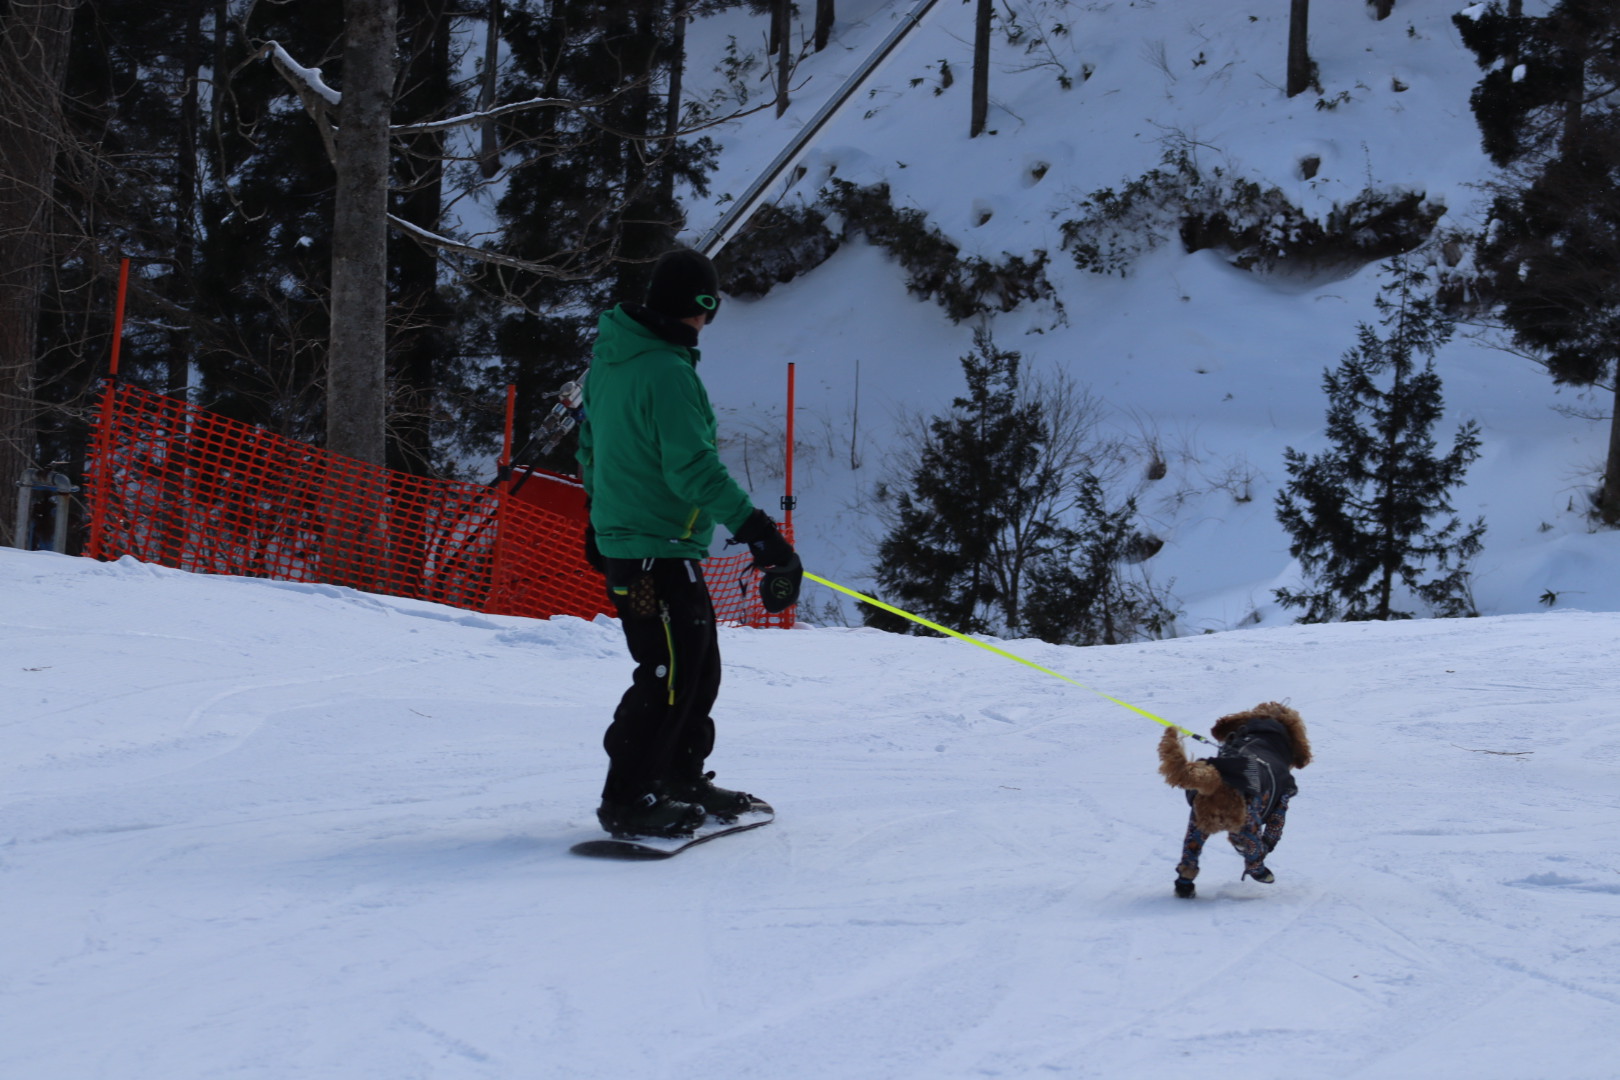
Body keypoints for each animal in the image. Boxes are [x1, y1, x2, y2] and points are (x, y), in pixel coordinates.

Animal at [1157, 702, 1312, 898]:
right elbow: (1274, 831)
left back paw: (1184, 886)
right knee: (1251, 850)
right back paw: (1262, 872)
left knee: (1189, 857)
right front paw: (1267, 846)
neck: (1262, 735)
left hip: (1196, 825)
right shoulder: (1282, 801)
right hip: (1247, 822)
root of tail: (1217, 779)